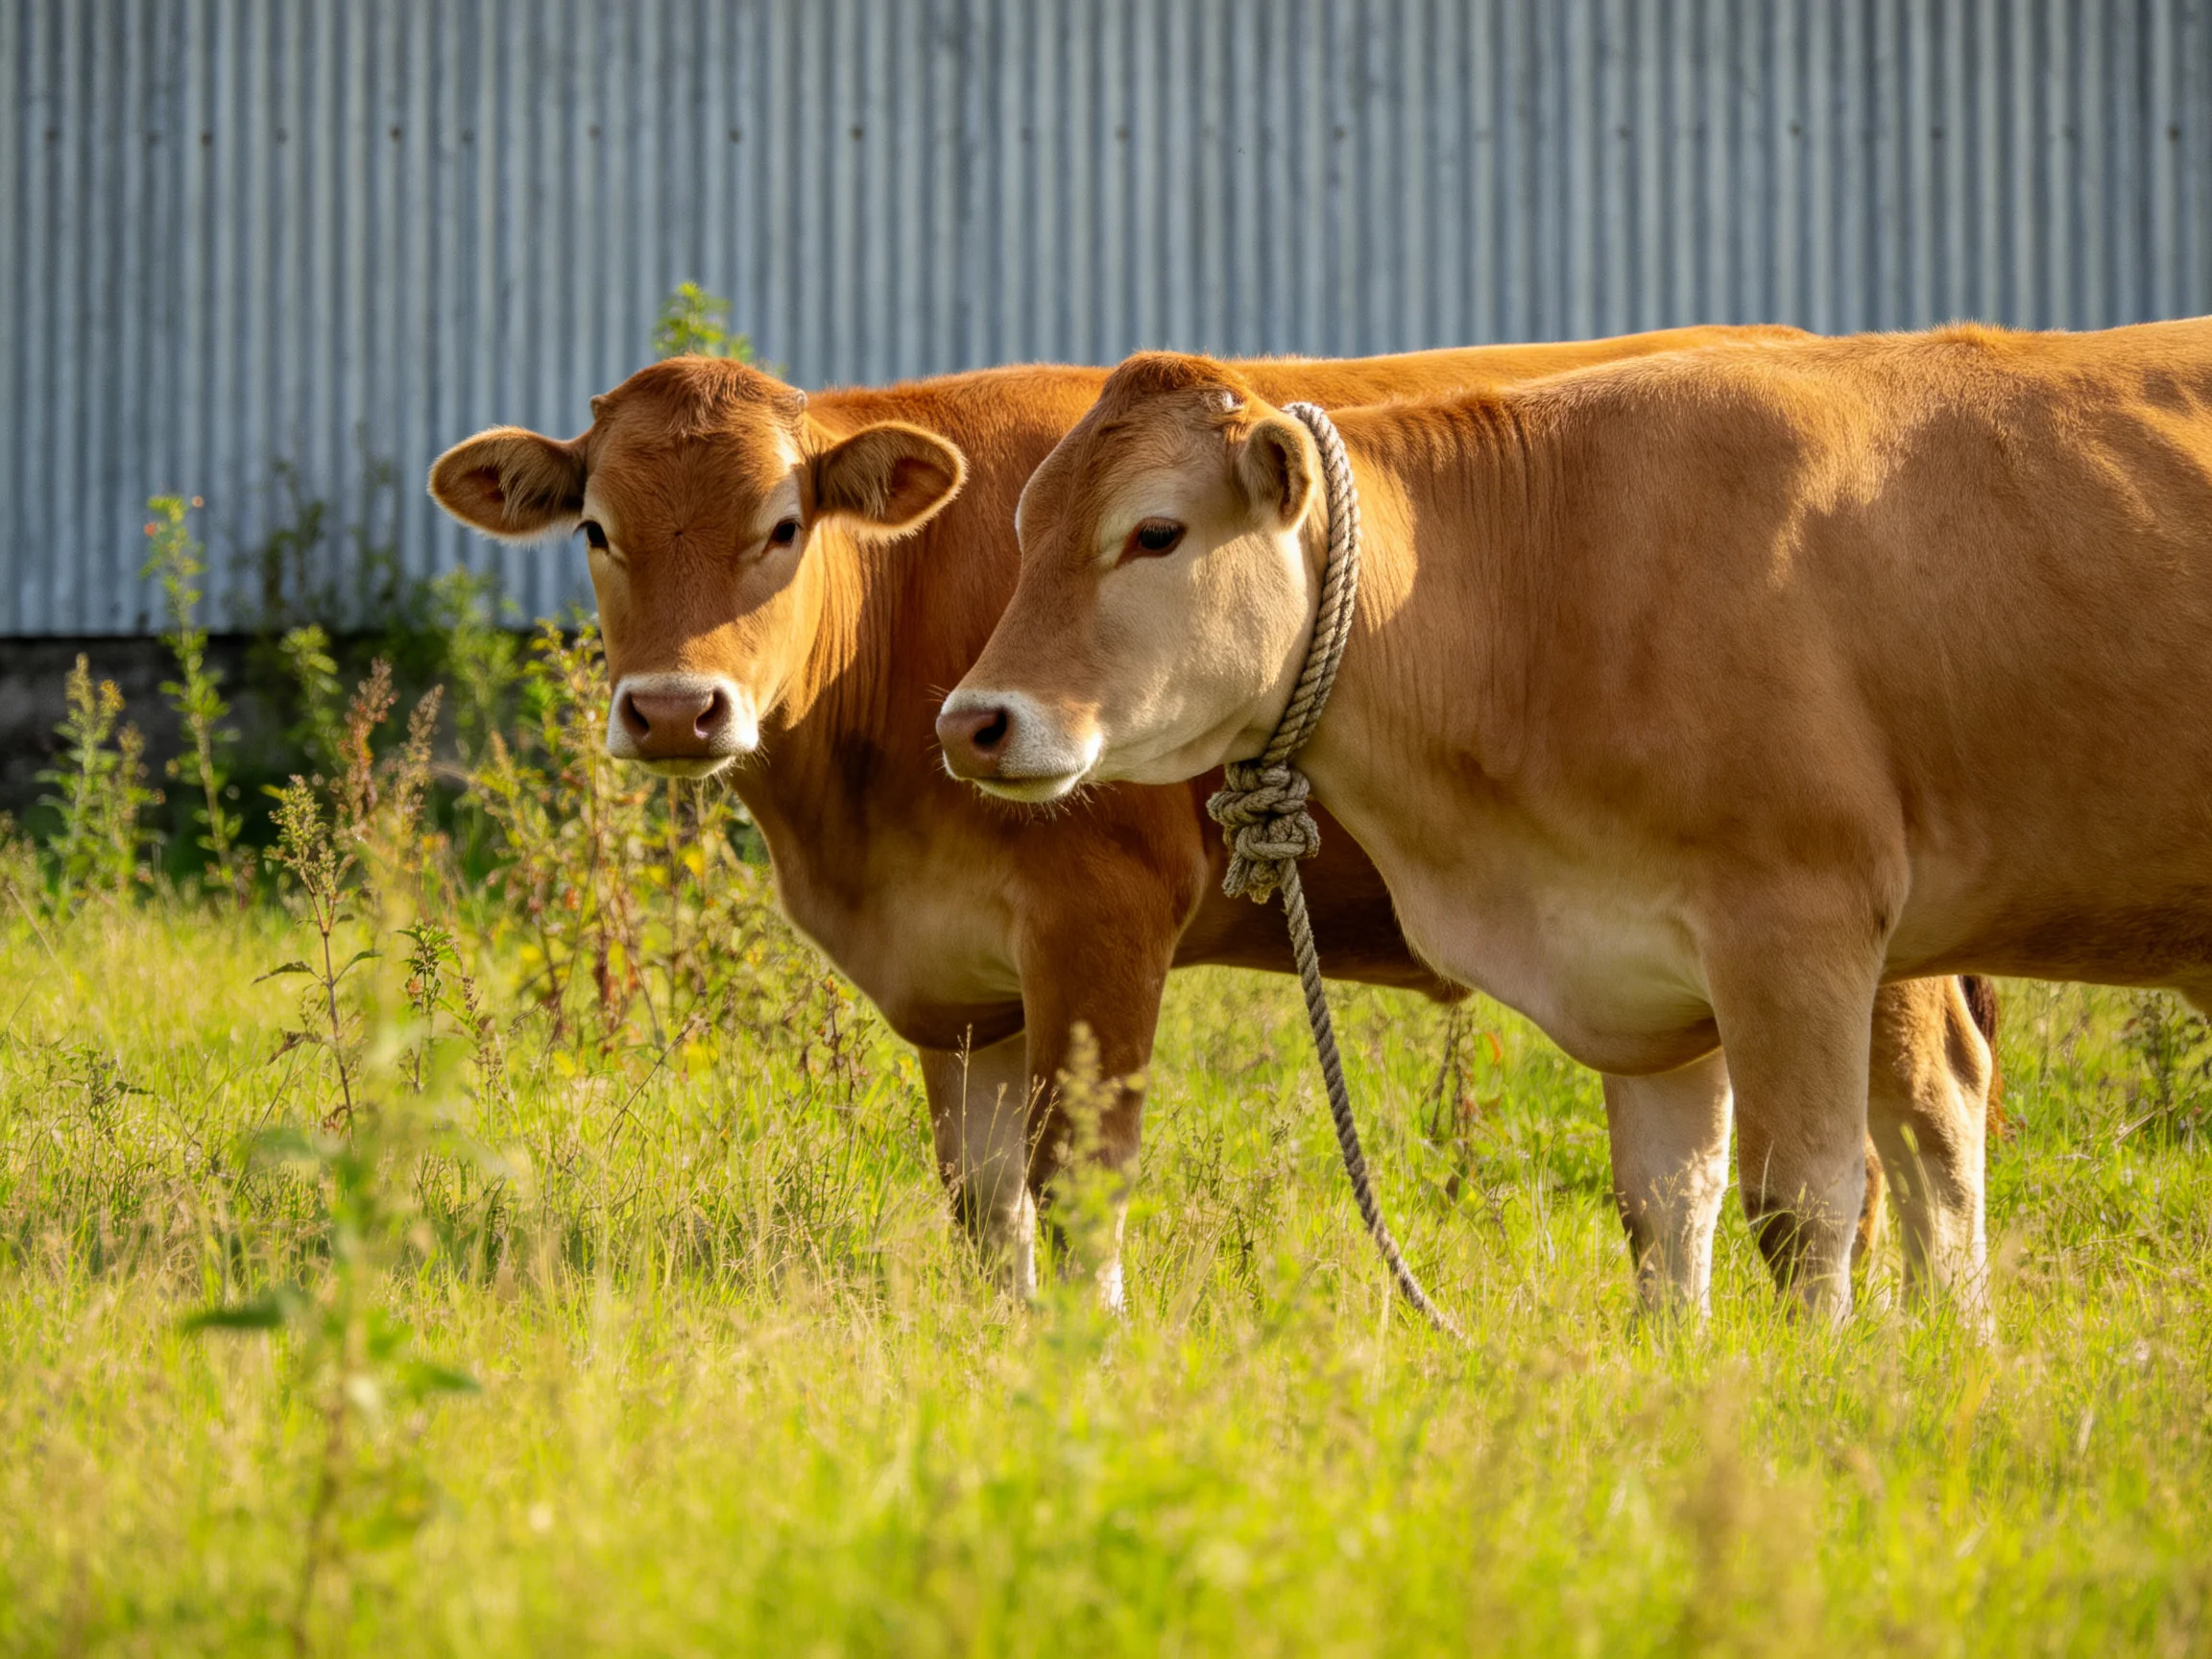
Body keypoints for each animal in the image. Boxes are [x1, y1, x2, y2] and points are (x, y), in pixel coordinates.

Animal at [428, 330, 1994, 1310]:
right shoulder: (960, 988)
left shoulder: (1100, 920)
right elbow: (984, 1202)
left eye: (782, 526)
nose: (675, 710)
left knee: (1918, 1127)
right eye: (596, 532)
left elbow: (1078, 1177)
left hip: (1859, 942)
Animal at [939, 322, 2212, 1320]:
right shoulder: (1644, 968)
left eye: (1155, 532)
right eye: (1027, 530)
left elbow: (1803, 1206)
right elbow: (1666, 1208)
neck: (1544, 587)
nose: (973, 722)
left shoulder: (1797, 930)